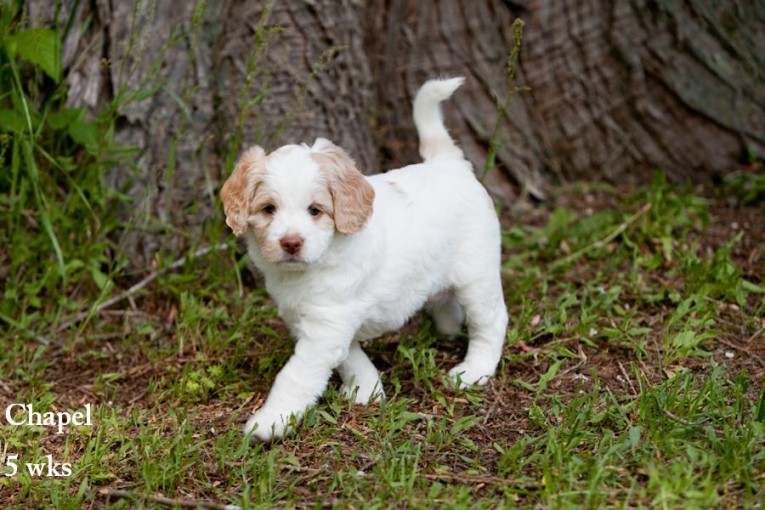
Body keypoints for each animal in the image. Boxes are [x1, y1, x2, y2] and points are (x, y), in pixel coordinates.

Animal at [221, 76, 508, 442]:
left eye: (315, 210)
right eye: (268, 209)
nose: (291, 243)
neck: (311, 268)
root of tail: (449, 163)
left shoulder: (325, 327)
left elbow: (295, 376)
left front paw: (271, 421)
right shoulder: (309, 321)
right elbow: (350, 357)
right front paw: (367, 390)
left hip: (477, 274)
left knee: (492, 321)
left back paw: (474, 370)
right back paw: (446, 328)